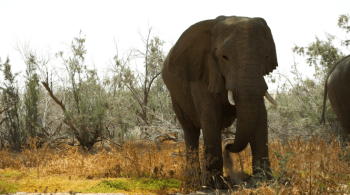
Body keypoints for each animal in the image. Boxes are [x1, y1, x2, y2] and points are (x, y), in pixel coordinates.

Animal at [161, 15, 278, 187]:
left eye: (266, 57)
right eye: (224, 57)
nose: (228, 146)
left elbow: (260, 117)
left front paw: (265, 182)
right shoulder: (203, 74)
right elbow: (210, 118)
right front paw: (215, 185)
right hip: (176, 98)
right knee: (190, 131)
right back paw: (194, 178)